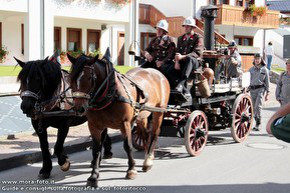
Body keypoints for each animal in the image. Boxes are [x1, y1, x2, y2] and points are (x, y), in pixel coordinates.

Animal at [68, 50, 170, 187]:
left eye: (89, 78)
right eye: (71, 78)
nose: (79, 109)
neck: (109, 93)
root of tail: (157, 72)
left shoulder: (125, 123)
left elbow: (128, 145)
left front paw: (131, 170)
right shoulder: (94, 126)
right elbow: (96, 150)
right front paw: (93, 176)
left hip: (159, 111)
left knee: (154, 133)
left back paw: (148, 159)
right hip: (142, 116)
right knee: (145, 134)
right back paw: (148, 156)